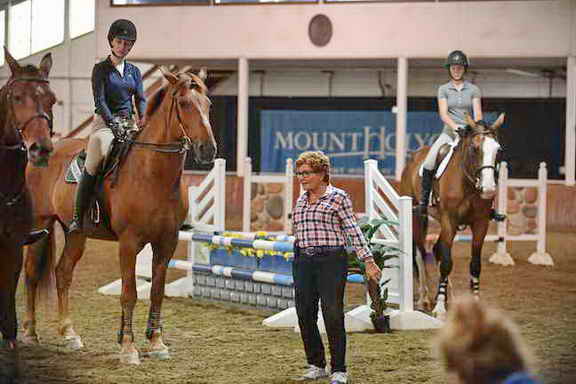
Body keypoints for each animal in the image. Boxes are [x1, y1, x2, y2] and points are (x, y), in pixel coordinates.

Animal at [22, 67, 216, 364]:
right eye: (184, 104)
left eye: (208, 104)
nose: (208, 150)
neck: (152, 173)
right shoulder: (129, 242)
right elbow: (129, 293)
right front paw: (128, 347)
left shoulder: (167, 242)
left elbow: (157, 293)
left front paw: (156, 343)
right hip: (39, 224)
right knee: (32, 275)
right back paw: (30, 333)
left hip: (76, 233)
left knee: (63, 273)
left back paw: (70, 334)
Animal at [400, 112, 504, 320]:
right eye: (475, 148)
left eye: (498, 150)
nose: (488, 189)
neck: (468, 183)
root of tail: (413, 158)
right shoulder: (450, 220)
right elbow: (447, 262)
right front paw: (439, 308)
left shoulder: (480, 224)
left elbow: (475, 264)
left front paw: (473, 303)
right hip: (418, 217)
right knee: (420, 254)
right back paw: (424, 298)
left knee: (437, 249)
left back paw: (450, 298)